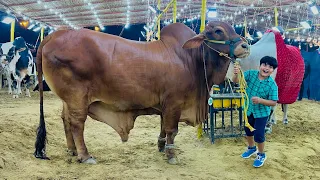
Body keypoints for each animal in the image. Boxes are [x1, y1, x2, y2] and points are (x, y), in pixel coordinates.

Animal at [35, 20, 250, 165]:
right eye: (218, 31)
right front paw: (171, 155)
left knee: (65, 120)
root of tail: (56, 35)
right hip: (77, 97)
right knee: (77, 124)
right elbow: (172, 130)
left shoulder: (166, 105)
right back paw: (85, 155)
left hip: (68, 99)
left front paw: (161, 146)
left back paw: (72, 150)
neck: (191, 59)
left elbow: (163, 127)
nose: (245, 45)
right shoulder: (174, 102)